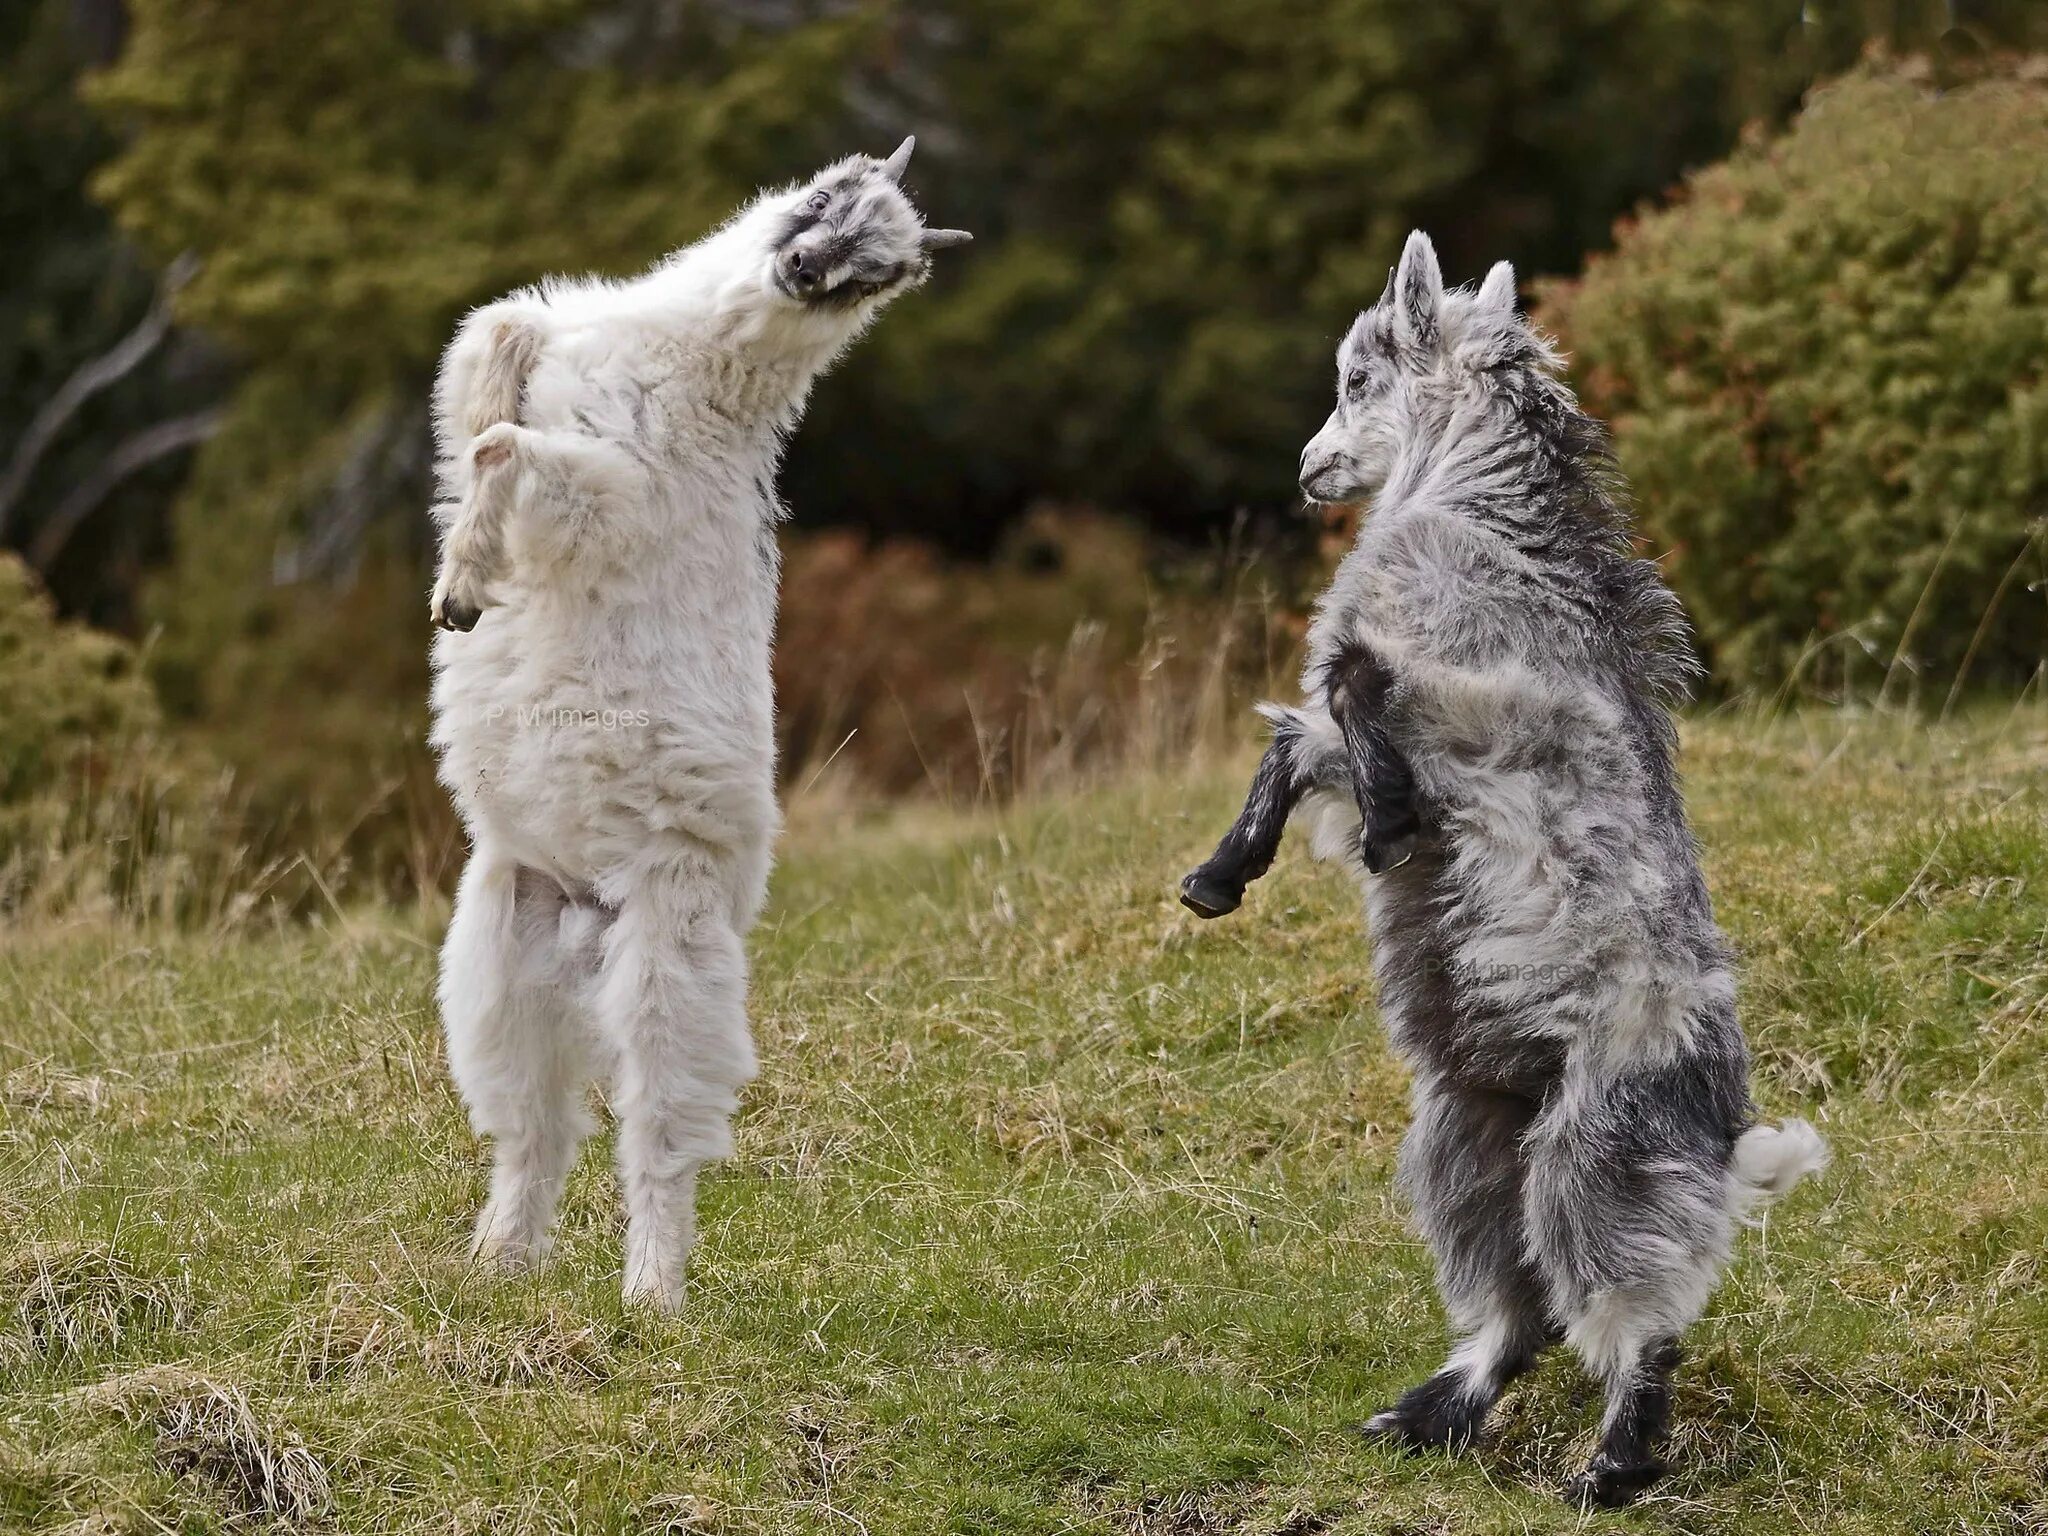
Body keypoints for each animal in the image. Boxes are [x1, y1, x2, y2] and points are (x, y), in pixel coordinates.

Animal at [423, 138, 966, 1310]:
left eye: (876, 275)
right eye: (825, 199)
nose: (804, 272)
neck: (693, 359)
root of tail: (589, 919)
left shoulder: (614, 496)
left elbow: (503, 447)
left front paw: (468, 589)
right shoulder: (553, 348)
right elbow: (494, 350)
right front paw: (457, 572)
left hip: (674, 962)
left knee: (659, 1139)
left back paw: (652, 1294)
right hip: (496, 958)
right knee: (536, 1129)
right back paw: (498, 1262)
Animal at [1187, 234, 1826, 1507]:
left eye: (1358, 377)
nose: (1309, 469)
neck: (1476, 504)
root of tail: (1721, 1137)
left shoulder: (1454, 699)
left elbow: (1345, 697)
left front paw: (1379, 825)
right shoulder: (1381, 695)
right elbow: (1297, 740)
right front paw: (1222, 877)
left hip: (1594, 1155)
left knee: (1631, 1308)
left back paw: (1610, 1469)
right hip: (1466, 1139)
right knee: (1517, 1308)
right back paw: (1428, 1413)